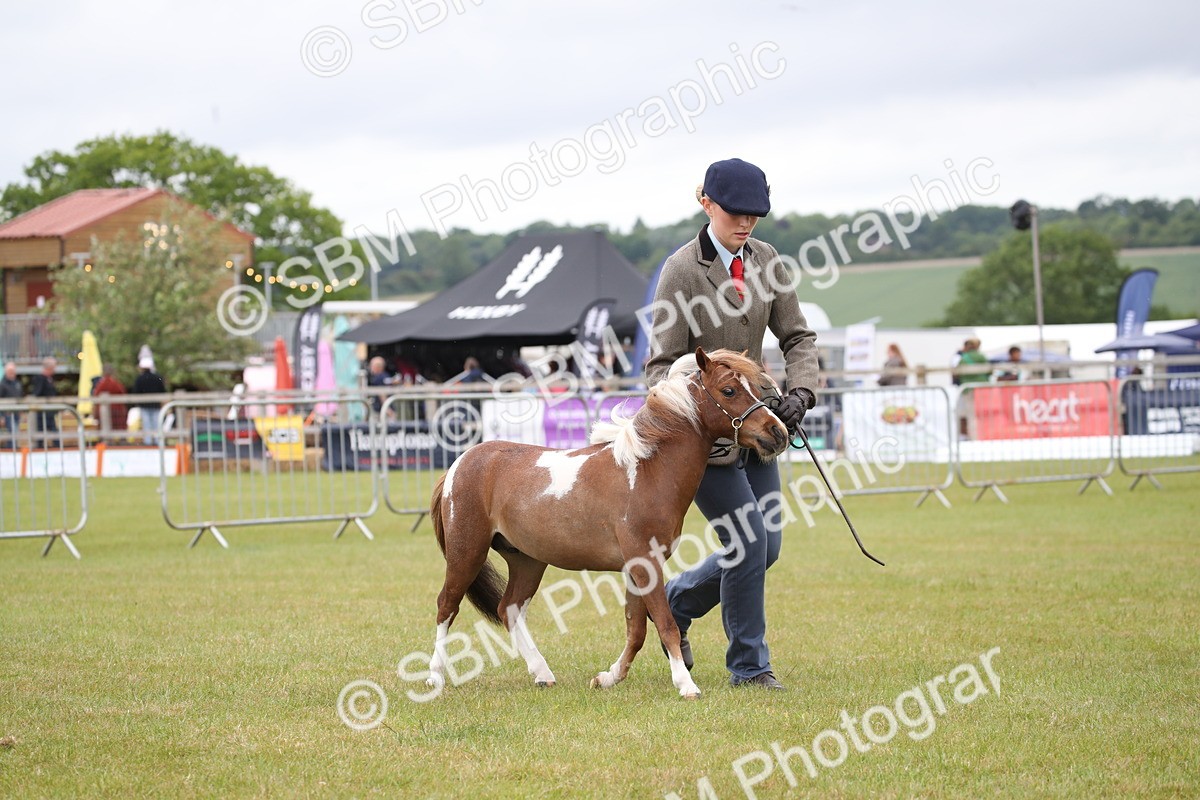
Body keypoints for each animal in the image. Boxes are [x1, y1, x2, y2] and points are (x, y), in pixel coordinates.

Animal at [425, 347, 789, 698]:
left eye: (755, 388)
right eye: (728, 390)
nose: (778, 432)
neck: (648, 472)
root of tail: (459, 464)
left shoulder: (638, 568)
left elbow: (637, 630)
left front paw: (608, 678)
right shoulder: (645, 563)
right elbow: (665, 624)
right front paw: (686, 685)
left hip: (526, 560)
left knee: (509, 609)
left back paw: (542, 673)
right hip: (467, 552)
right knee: (447, 606)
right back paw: (435, 677)